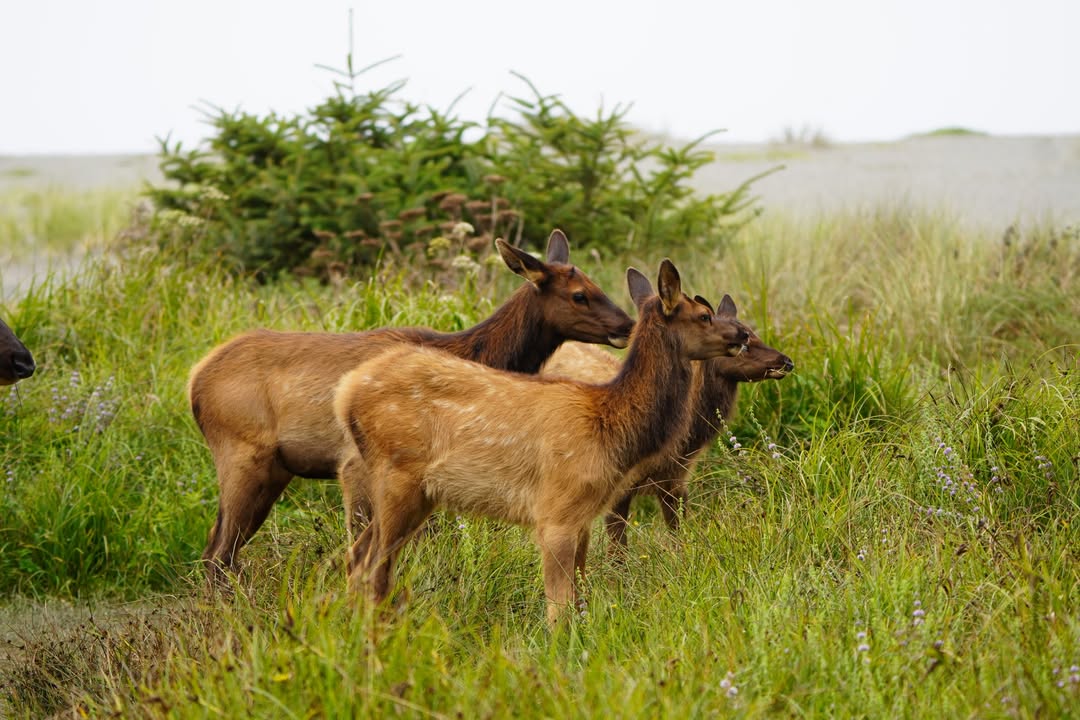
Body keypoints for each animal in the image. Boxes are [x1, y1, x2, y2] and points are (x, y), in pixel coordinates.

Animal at [190, 229, 635, 582]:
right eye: (580, 295)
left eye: (597, 284)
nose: (628, 324)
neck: (473, 352)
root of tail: (195, 380)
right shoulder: (354, 464)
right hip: (242, 453)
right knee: (217, 552)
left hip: (274, 469)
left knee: (219, 544)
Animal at [334, 259, 751, 624]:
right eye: (704, 315)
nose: (744, 334)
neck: (611, 425)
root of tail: (346, 393)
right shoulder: (557, 511)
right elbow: (560, 610)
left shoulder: (584, 516)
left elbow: (581, 600)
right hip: (397, 476)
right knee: (372, 566)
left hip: (416, 493)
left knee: (359, 555)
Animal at [540, 294, 793, 551]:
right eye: (745, 342)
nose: (786, 361)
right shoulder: (617, 486)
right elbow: (618, 548)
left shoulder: (676, 480)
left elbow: (678, 534)